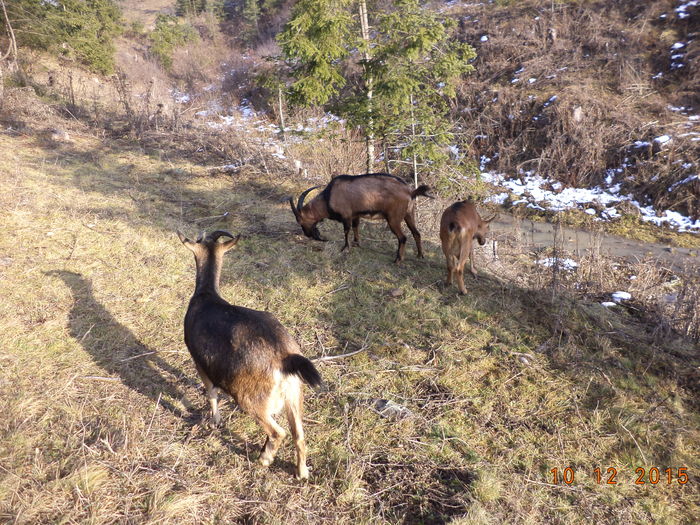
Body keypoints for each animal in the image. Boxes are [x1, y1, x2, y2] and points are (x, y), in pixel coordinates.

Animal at [176, 227, 322, 476]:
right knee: (300, 435)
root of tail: (285, 358)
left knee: (278, 432)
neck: (207, 295)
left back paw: (264, 458)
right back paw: (302, 472)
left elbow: (211, 392)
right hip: (294, 394)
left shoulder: (198, 359)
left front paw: (215, 421)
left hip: (251, 397)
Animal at [286, 172, 430, 262]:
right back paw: (420, 255)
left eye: (300, 221)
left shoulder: (346, 215)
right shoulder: (355, 215)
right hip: (409, 214)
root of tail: (410, 191)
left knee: (403, 237)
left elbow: (346, 231)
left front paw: (345, 248)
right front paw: (356, 243)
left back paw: (398, 260)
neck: (328, 197)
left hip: (393, 218)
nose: (307, 235)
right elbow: (356, 228)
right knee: (416, 233)